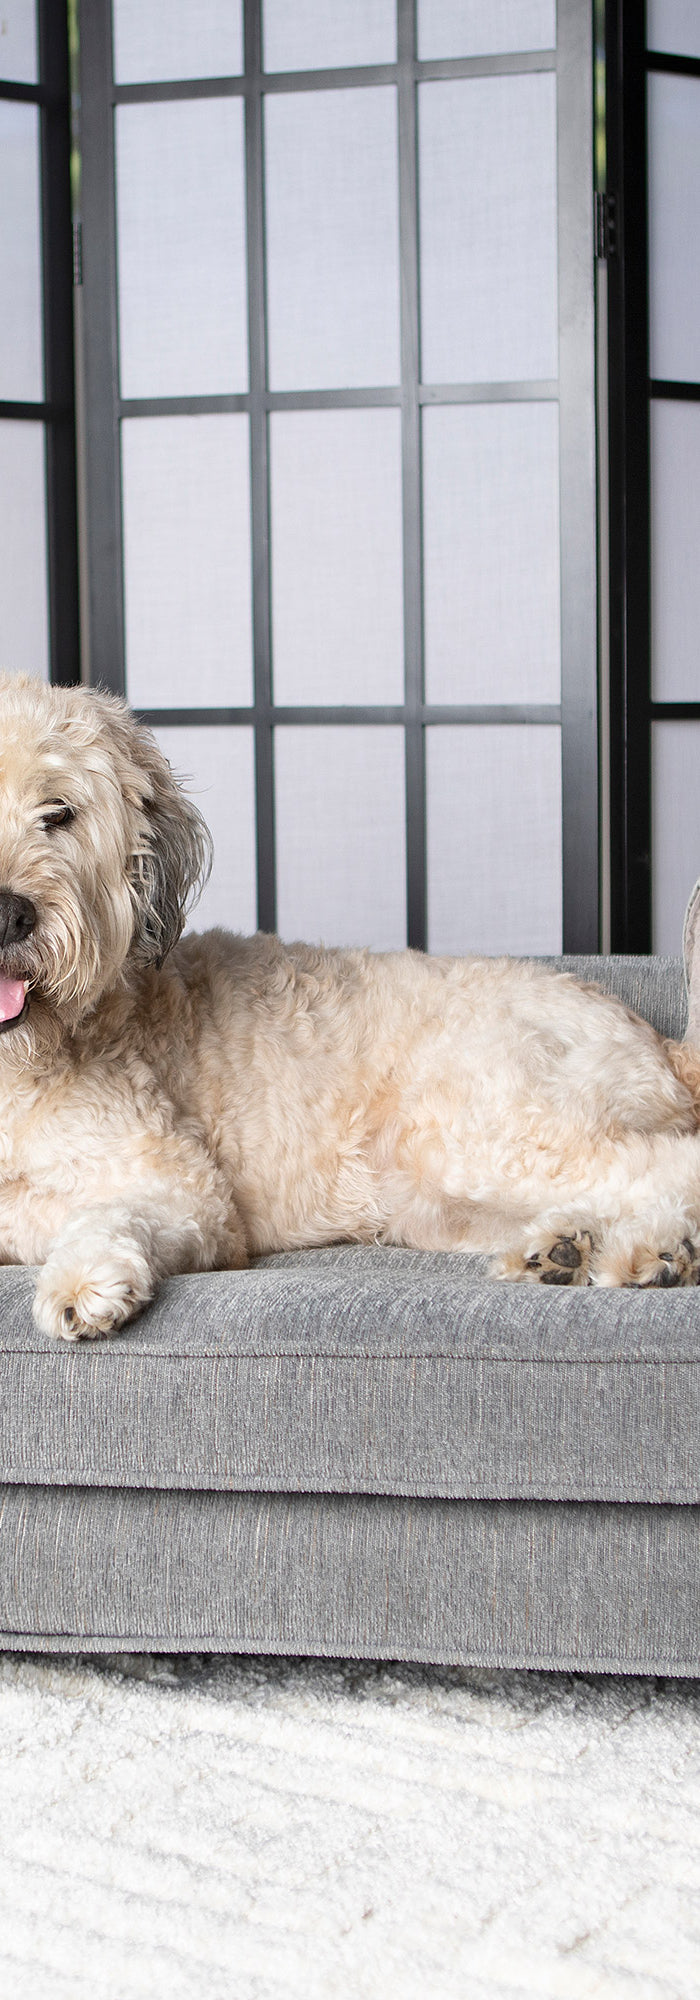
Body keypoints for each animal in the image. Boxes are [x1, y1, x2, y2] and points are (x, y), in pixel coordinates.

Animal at [1, 672, 700, 1344]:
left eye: (58, 813)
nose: (10, 913)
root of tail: (662, 1046)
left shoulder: (187, 1193)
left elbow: (91, 1210)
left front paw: (83, 1278)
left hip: (491, 1131)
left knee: (667, 1163)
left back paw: (654, 1252)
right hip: (437, 1197)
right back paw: (567, 1251)